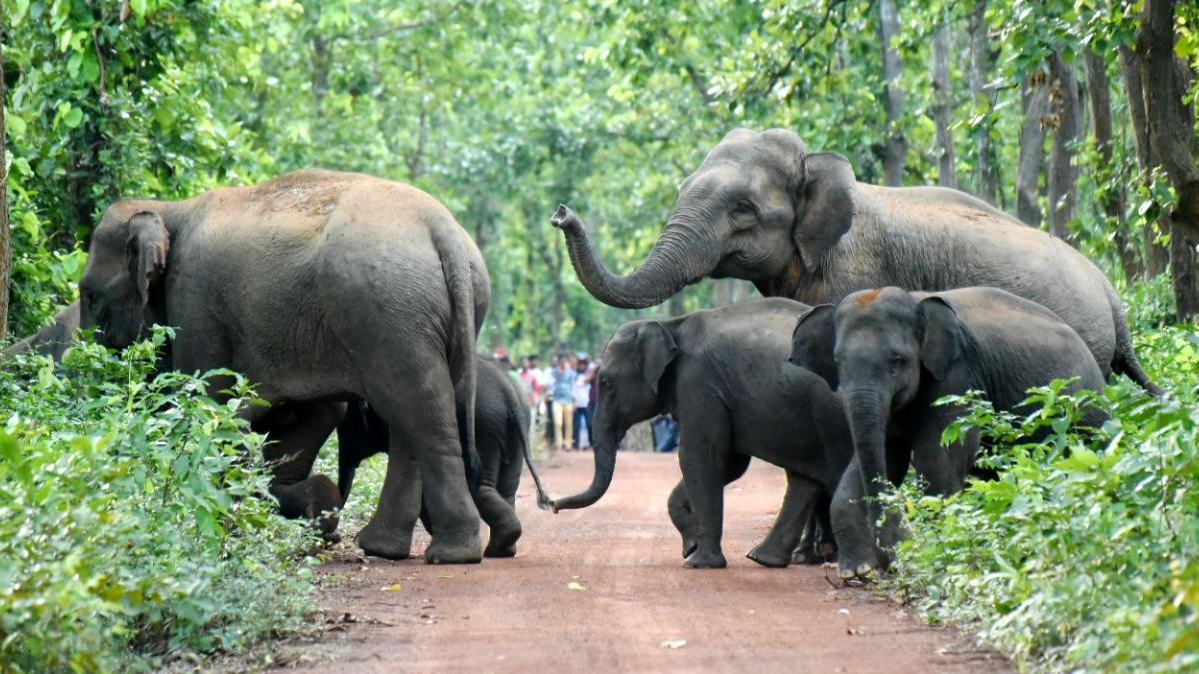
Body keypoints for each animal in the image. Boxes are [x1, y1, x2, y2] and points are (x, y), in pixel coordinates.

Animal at [77, 169, 489, 561]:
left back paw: (449, 554)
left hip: (386, 312)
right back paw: (382, 547)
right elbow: (318, 413)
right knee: (410, 421)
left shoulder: (193, 300)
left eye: (90, 296)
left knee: (419, 416)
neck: (170, 209)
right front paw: (300, 499)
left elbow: (210, 398)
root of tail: (444, 230)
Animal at [549, 298, 858, 566]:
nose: (551, 504)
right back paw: (764, 558)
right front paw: (691, 547)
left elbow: (701, 456)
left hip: (834, 416)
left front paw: (699, 561)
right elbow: (729, 464)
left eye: (606, 383)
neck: (669, 325)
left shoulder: (698, 383)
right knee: (803, 480)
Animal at [791, 284, 1107, 578]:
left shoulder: (958, 378)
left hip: (1084, 416)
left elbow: (936, 464)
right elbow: (883, 459)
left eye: (897, 361)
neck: (915, 300)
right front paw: (856, 570)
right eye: (838, 362)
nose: (891, 564)